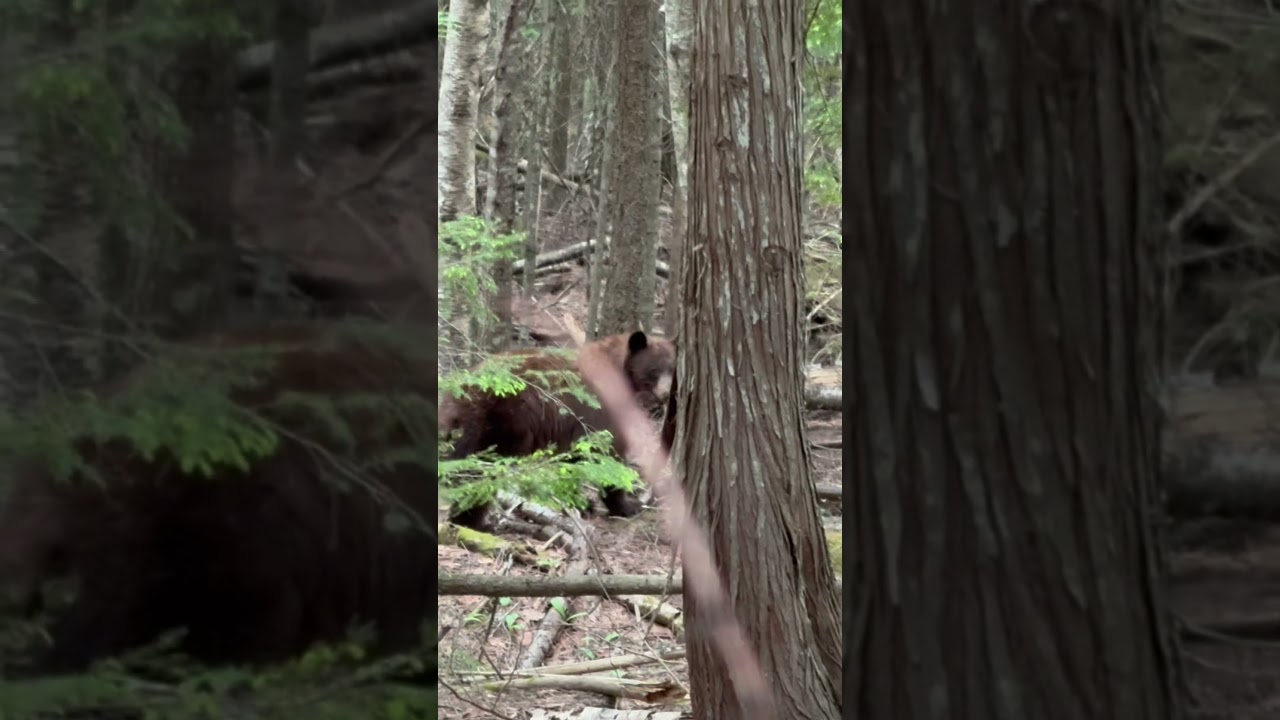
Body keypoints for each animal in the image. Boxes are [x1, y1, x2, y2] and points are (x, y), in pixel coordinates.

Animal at [439, 330, 675, 530]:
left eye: (672, 370)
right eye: (654, 371)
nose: (665, 395)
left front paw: (581, 503)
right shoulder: (600, 409)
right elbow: (606, 455)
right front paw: (626, 504)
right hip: (504, 423)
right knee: (483, 471)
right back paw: (472, 520)